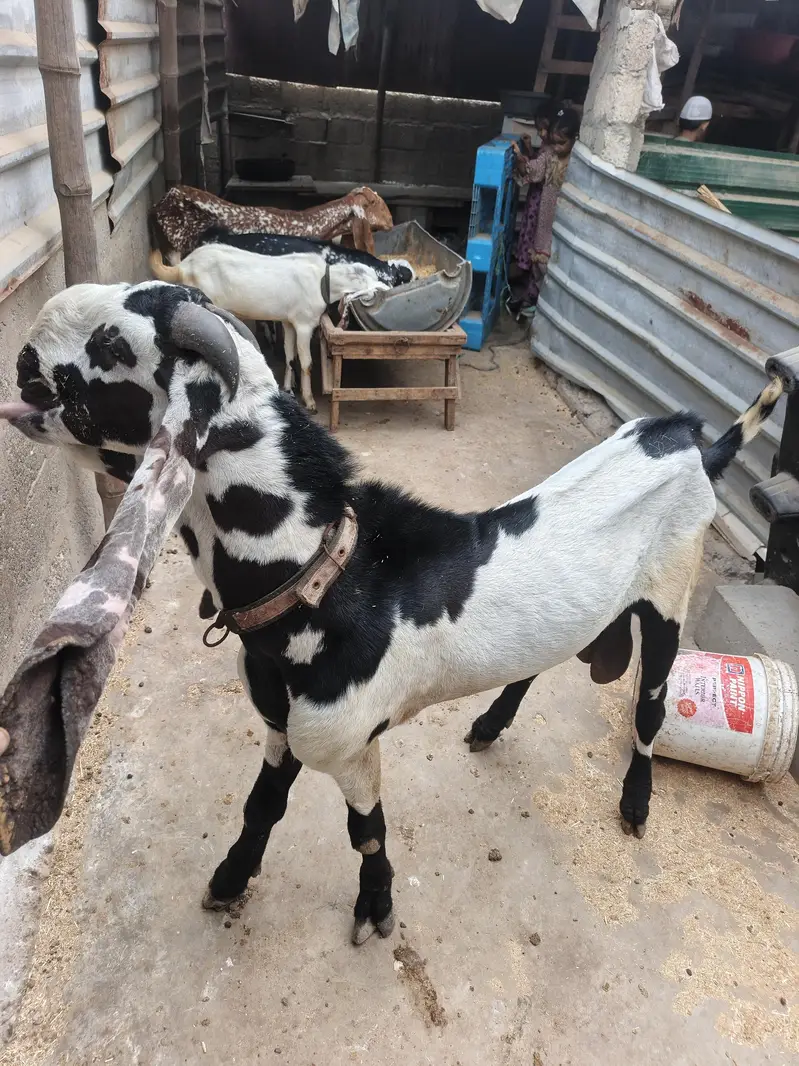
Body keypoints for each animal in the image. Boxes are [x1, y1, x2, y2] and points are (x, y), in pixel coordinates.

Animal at [1, 280, 782, 946]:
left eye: (113, 345)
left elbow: (367, 831)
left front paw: (375, 908)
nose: (23, 357)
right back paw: (490, 724)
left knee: (650, 706)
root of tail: (692, 444)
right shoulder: (285, 724)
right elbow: (261, 806)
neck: (324, 578)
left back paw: (635, 801)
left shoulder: (346, 744)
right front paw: (227, 881)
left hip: (671, 589)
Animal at [149, 242, 409, 414]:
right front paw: (309, 401)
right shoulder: (304, 323)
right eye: (379, 280)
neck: (322, 281)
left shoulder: (289, 321)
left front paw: (289, 389)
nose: (390, 291)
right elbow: (306, 363)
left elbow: (290, 356)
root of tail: (183, 265)